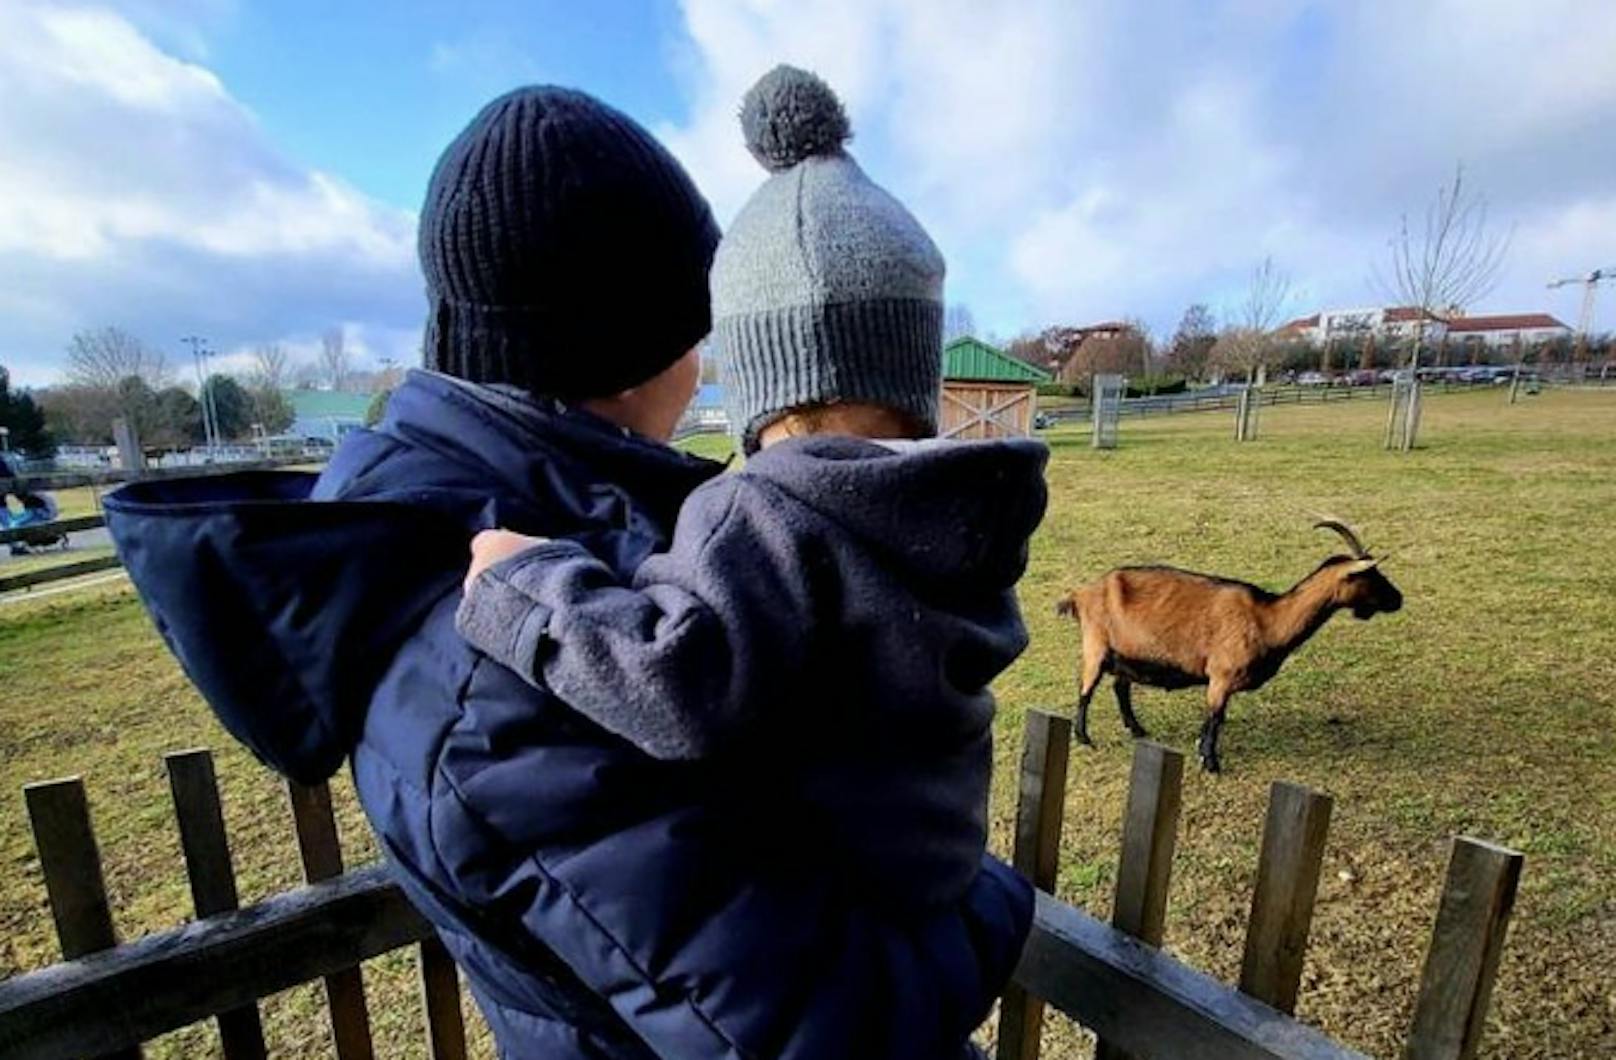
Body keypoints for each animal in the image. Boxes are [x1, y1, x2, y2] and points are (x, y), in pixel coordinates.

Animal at [1053, 520, 1396, 769]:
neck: (1268, 618)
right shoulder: (1221, 675)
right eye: (1372, 577)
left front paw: (1201, 749)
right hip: (1096, 644)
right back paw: (1084, 738)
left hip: (1126, 654)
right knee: (1086, 689)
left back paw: (1137, 729)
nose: (1398, 599)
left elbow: (1212, 718)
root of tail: (1081, 593)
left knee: (1119, 687)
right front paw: (1210, 761)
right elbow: (1215, 717)